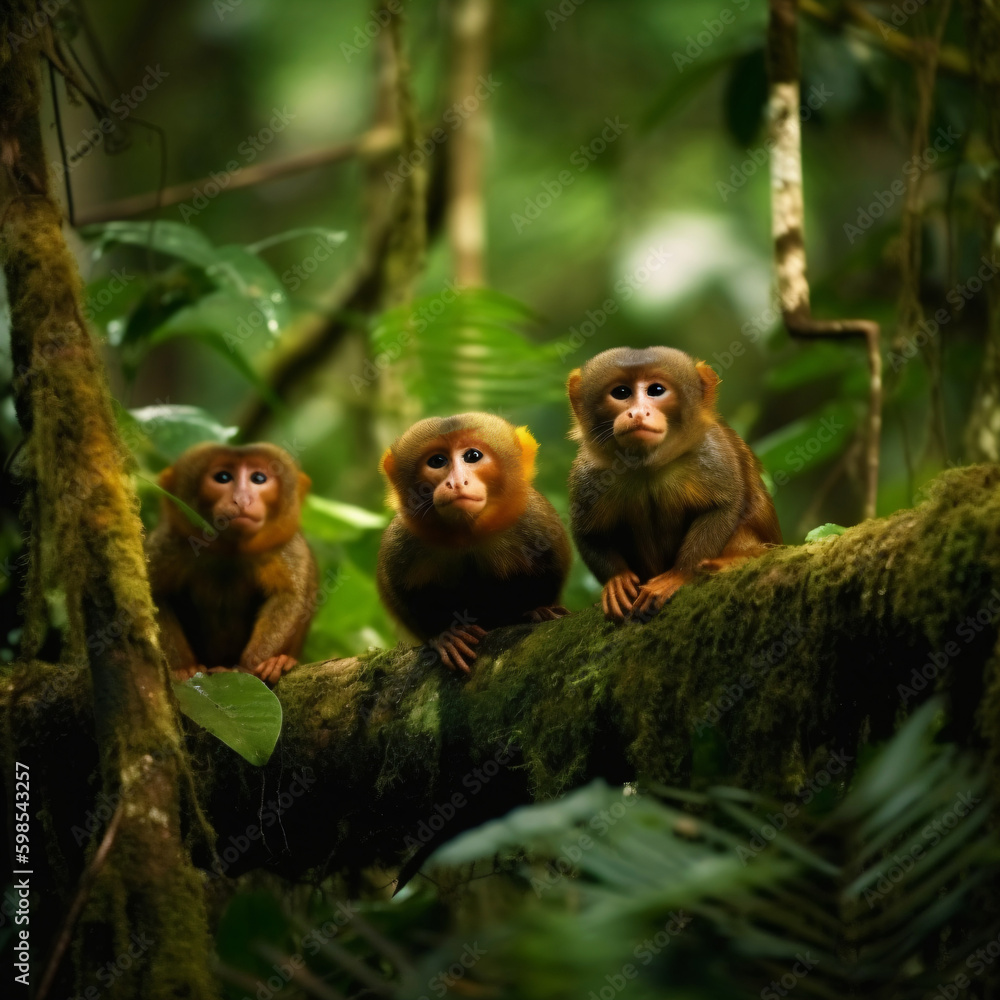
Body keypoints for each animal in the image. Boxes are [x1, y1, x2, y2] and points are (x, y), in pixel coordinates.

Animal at [145, 442, 318, 684]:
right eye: (223, 477)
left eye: (258, 478)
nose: (242, 499)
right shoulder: (169, 543)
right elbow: (155, 595)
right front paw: (183, 668)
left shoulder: (289, 549)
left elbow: (289, 597)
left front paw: (246, 668)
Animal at [376, 413, 571, 673]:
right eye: (437, 461)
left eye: (473, 456)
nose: (457, 482)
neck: (468, 537)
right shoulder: (402, 542)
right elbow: (398, 592)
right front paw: (444, 637)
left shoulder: (537, 522)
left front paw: (539, 609)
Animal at [567, 346, 781, 623]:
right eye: (621, 393)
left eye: (656, 390)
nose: (638, 413)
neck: (646, 469)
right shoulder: (589, 473)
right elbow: (587, 533)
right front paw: (617, 580)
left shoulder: (711, 452)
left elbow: (725, 506)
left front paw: (679, 574)